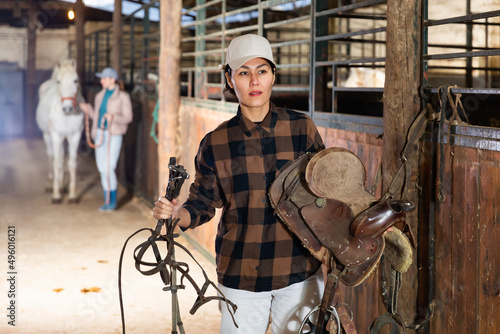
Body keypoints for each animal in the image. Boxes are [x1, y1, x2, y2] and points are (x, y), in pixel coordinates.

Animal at [36, 59, 84, 204]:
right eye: (59, 81)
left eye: (75, 80)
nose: (67, 109)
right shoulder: (56, 136)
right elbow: (56, 163)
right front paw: (56, 195)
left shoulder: (75, 136)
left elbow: (71, 164)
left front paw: (72, 196)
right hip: (47, 136)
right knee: (51, 157)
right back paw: (50, 184)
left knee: (62, 156)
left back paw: (62, 184)